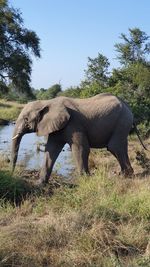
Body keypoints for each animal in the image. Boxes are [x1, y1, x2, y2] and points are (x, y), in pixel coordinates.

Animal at [12, 93, 146, 185]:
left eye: (26, 119)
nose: (12, 173)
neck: (47, 102)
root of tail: (128, 106)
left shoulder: (74, 124)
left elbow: (81, 149)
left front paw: (85, 180)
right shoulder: (57, 126)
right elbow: (51, 150)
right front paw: (40, 184)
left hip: (122, 121)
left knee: (114, 146)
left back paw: (125, 176)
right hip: (123, 122)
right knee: (119, 146)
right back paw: (125, 174)